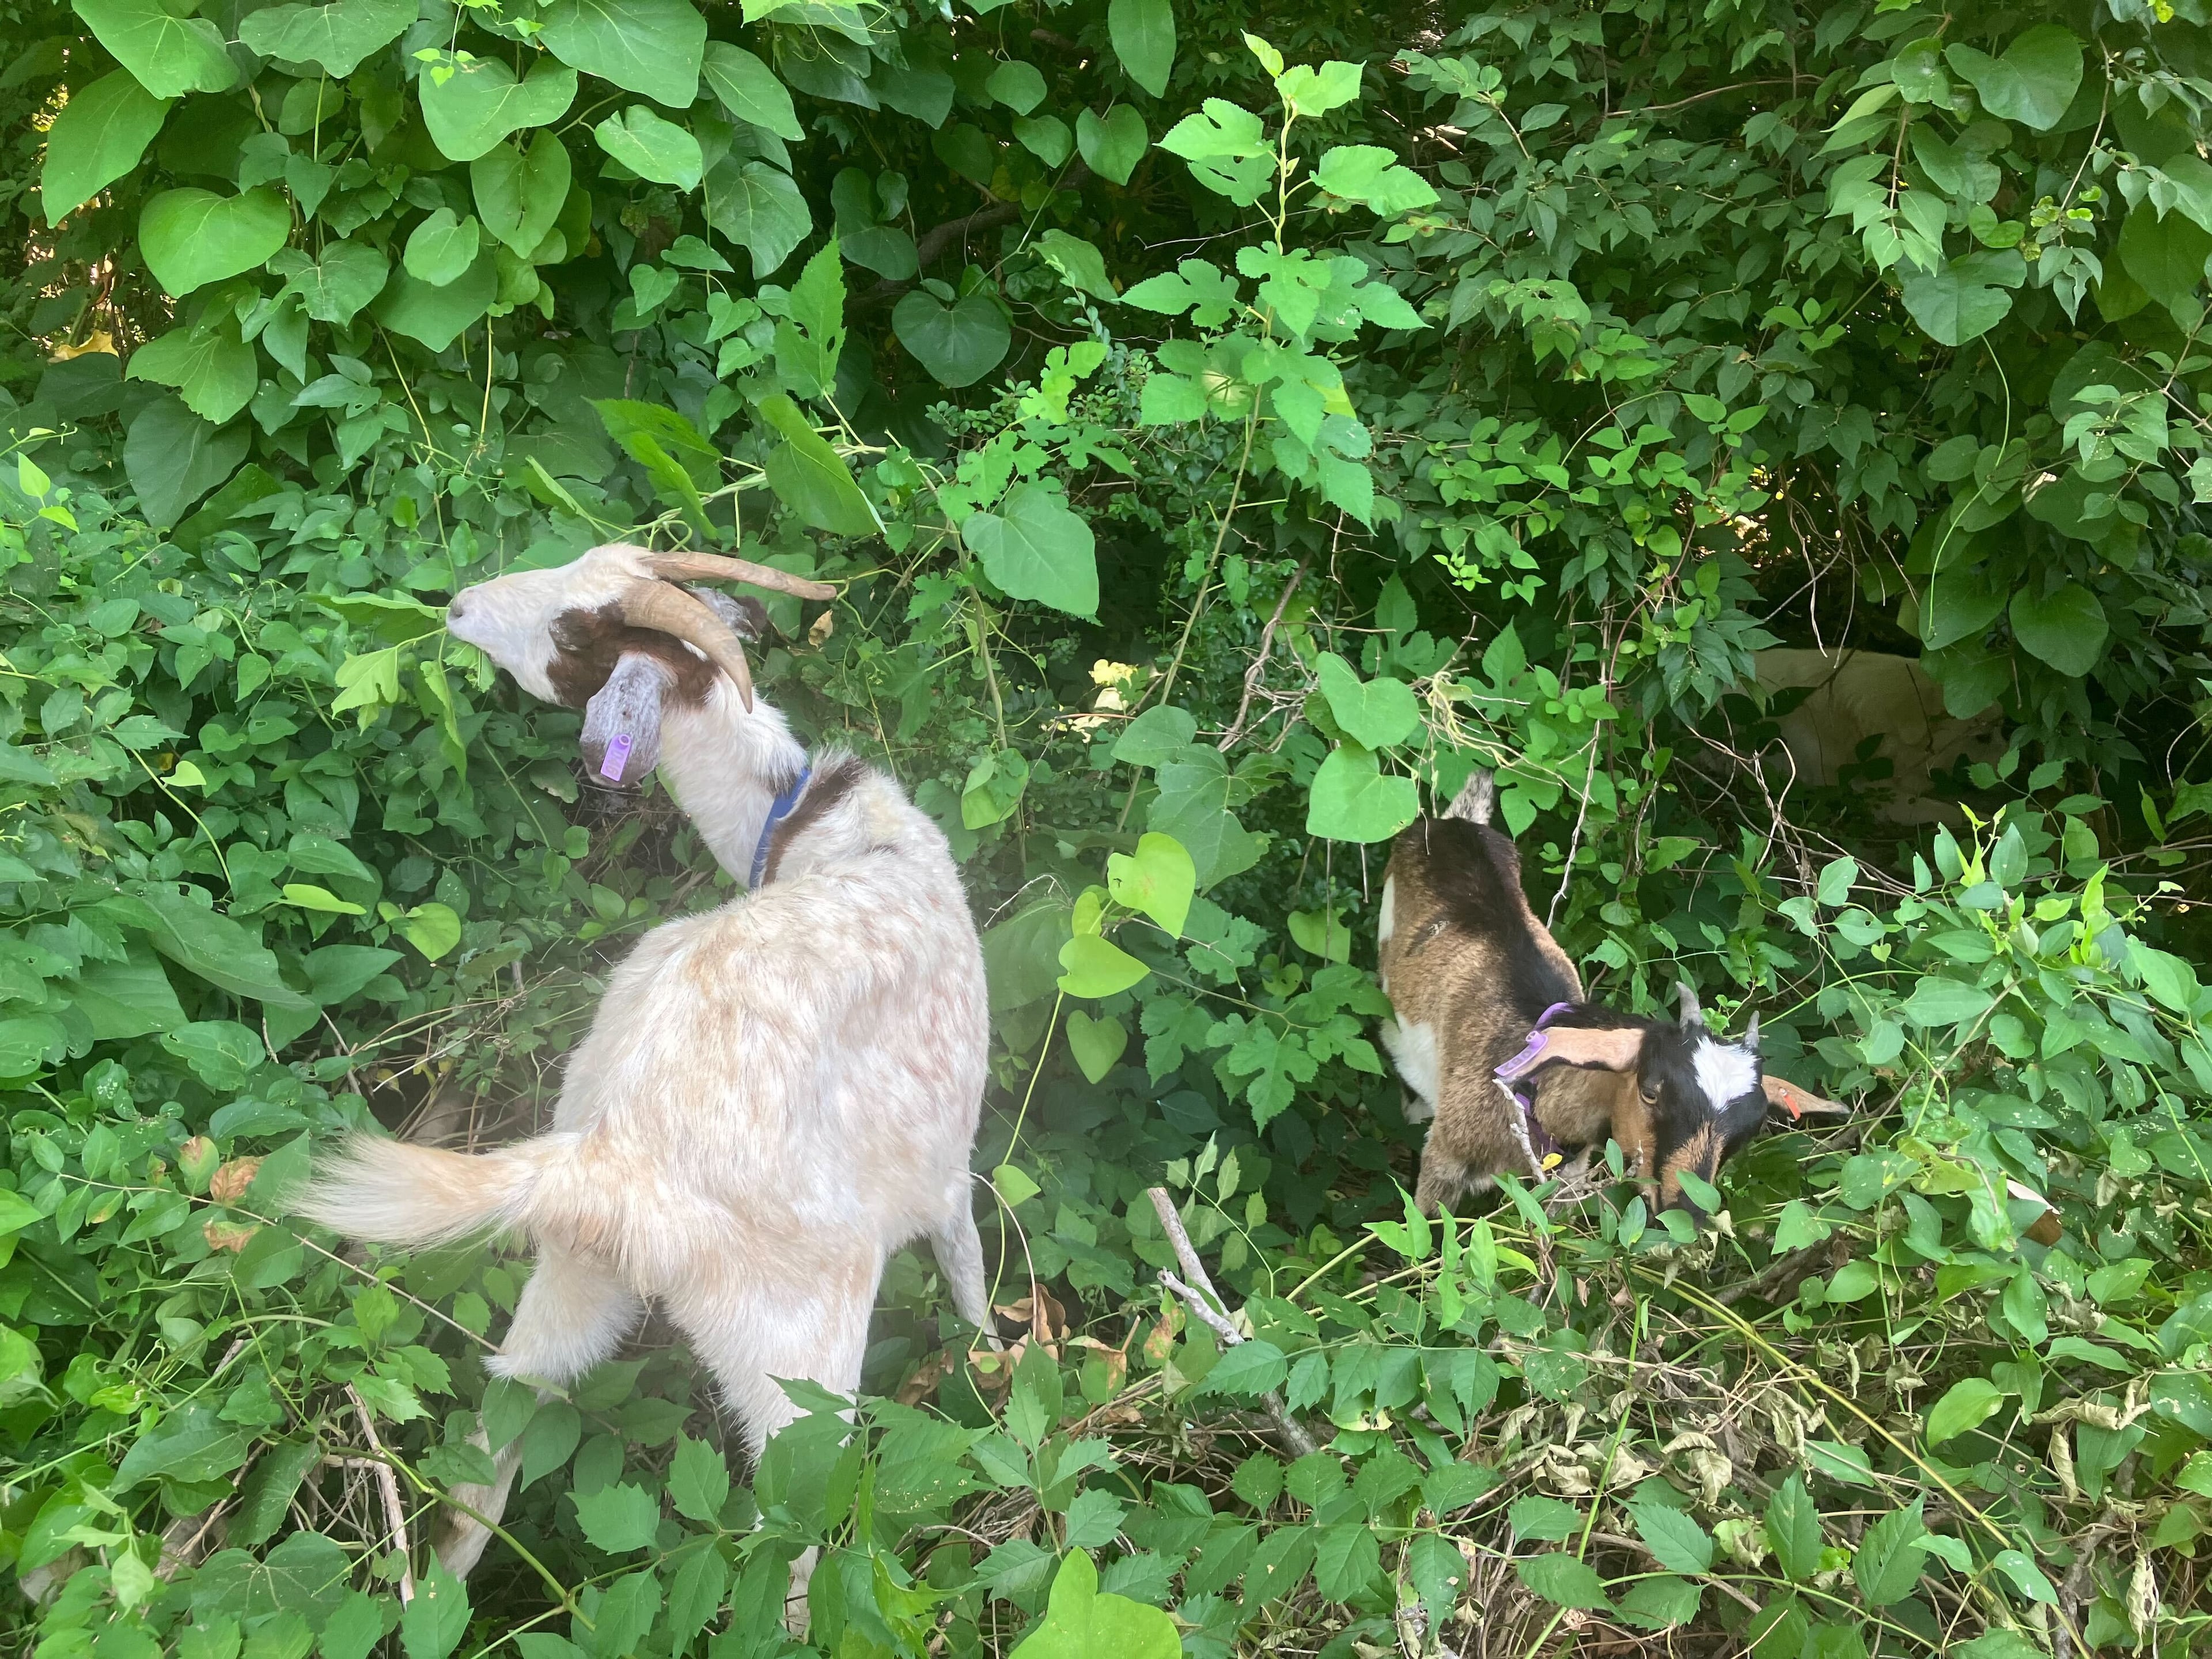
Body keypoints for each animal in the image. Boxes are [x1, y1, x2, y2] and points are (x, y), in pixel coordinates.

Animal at [298, 545, 996, 1597]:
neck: (812, 830)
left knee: (492, 1443)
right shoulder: (948, 1167)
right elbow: (970, 1279)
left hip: (574, 1274)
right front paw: (994, 1376)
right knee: (795, 1548)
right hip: (800, 1357)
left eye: (571, 626)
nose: (458, 606)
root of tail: (616, 1152)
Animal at [1376, 771, 1841, 1216]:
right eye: (1650, 1091)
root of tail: (1456, 823)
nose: (1688, 1211)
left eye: (1751, 1131)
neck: (1534, 1095)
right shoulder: (1444, 1160)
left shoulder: (1567, 1177)